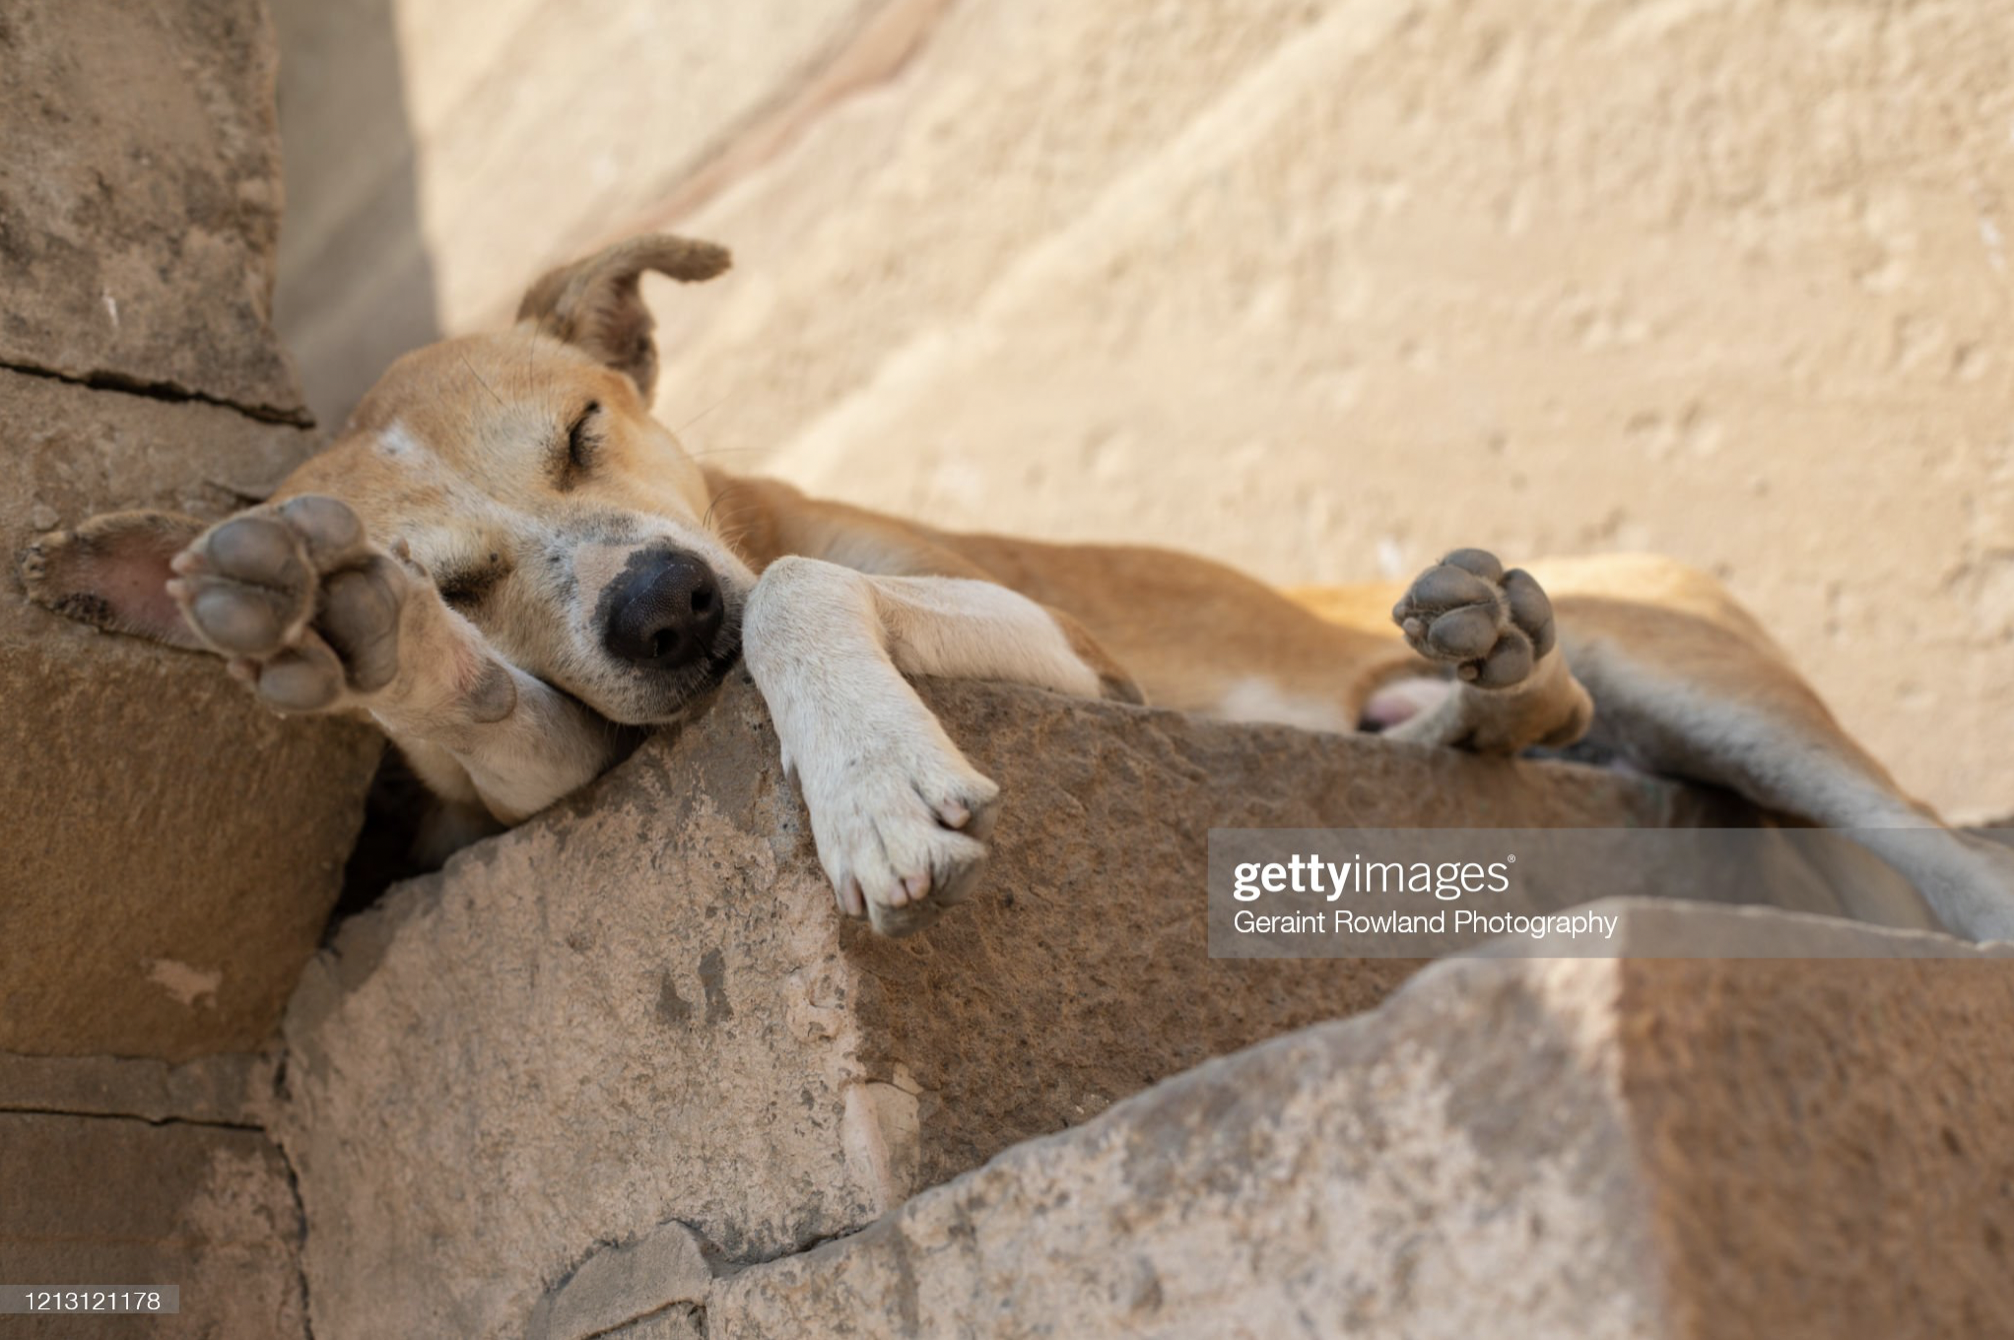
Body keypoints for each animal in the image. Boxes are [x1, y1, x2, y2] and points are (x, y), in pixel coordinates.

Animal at [15, 234, 2014, 934]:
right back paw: (1472, 668)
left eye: (582, 428)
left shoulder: (1061, 647)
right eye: (461, 570)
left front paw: (868, 781)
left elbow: (806, 583)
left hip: (1717, 673)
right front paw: (353, 626)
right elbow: (514, 723)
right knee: (1519, 712)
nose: (662, 614)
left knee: (1906, 831)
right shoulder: (563, 764)